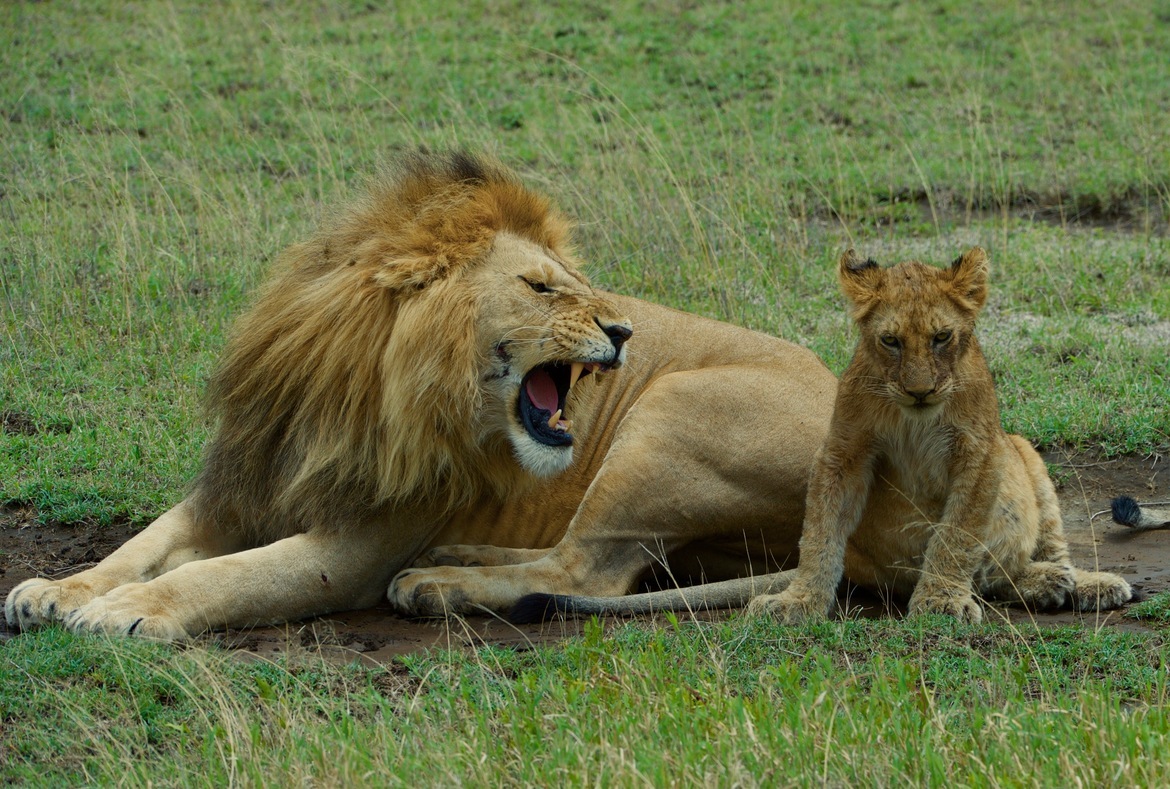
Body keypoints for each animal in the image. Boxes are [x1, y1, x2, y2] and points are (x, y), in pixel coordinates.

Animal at [6, 151, 837, 640]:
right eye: (542, 286)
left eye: (576, 284)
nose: (625, 330)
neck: (351, 385)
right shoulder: (244, 484)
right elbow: (141, 545)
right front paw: (54, 590)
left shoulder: (355, 546)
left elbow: (224, 574)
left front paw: (130, 610)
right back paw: (456, 554)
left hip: (673, 410)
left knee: (583, 571)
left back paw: (435, 583)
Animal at [511, 248, 1133, 623]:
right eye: (890, 342)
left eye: (942, 338)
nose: (920, 391)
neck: (915, 415)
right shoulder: (844, 449)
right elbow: (822, 530)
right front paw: (800, 602)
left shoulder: (980, 452)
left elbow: (956, 531)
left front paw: (940, 601)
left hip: (1021, 450)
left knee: (1028, 551)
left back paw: (1076, 582)